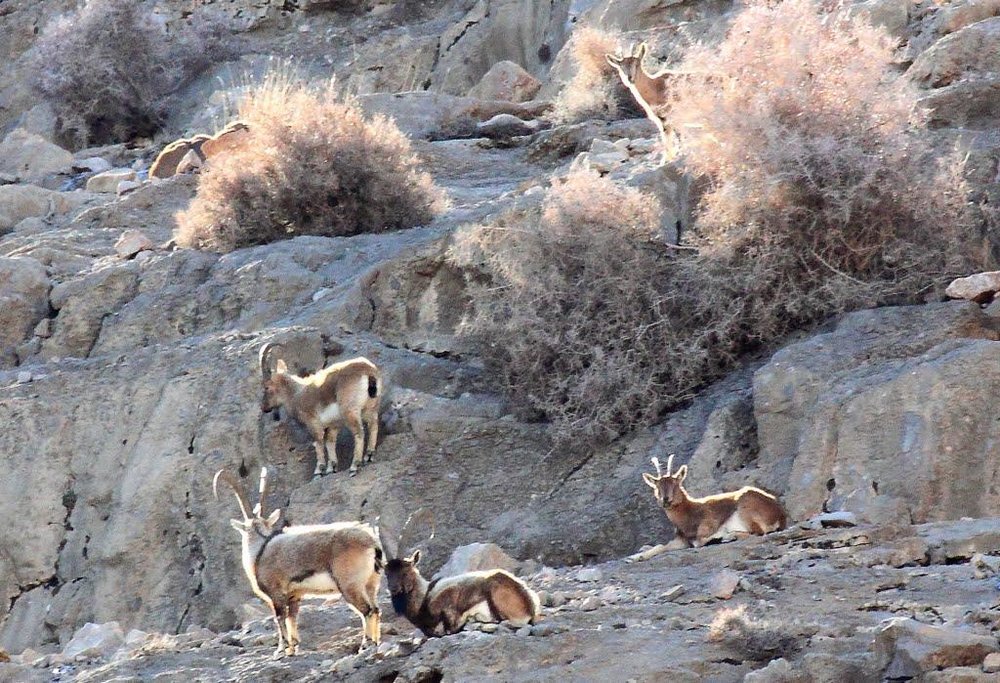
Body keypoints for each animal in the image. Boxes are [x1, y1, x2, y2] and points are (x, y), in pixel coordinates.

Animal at [212, 468, 382, 656]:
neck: (261, 549)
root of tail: (370, 541)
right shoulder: (295, 595)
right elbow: (292, 618)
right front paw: (294, 648)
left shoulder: (276, 594)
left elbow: (280, 618)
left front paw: (281, 650)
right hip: (371, 583)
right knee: (376, 609)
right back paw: (375, 642)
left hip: (350, 585)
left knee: (367, 610)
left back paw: (365, 645)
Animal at [258, 344, 382, 478]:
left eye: (266, 387)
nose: (263, 407)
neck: (296, 394)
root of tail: (368, 372)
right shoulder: (333, 424)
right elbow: (329, 442)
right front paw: (331, 468)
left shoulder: (313, 422)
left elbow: (318, 443)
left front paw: (319, 470)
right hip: (371, 407)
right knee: (373, 425)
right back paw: (369, 455)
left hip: (350, 410)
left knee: (359, 432)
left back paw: (354, 466)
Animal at [640, 456, 788, 560]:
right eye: (657, 488)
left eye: (676, 485)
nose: (666, 500)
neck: (689, 513)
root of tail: (780, 514)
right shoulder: (681, 540)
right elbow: (661, 546)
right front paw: (637, 557)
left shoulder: (707, 527)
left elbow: (699, 542)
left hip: (746, 509)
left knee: (758, 532)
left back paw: (727, 536)